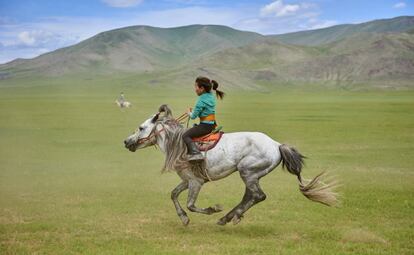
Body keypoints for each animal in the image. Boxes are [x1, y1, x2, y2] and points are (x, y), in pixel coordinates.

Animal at [124, 104, 338, 226]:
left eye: (141, 128)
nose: (126, 142)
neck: (178, 145)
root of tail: (276, 145)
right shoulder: (188, 180)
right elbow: (174, 194)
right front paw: (183, 218)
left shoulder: (196, 182)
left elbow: (191, 204)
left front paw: (213, 209)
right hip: (252, 175)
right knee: (250, 196)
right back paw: (229, 217)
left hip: (248, 171)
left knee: (258, 196)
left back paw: (226, 216)